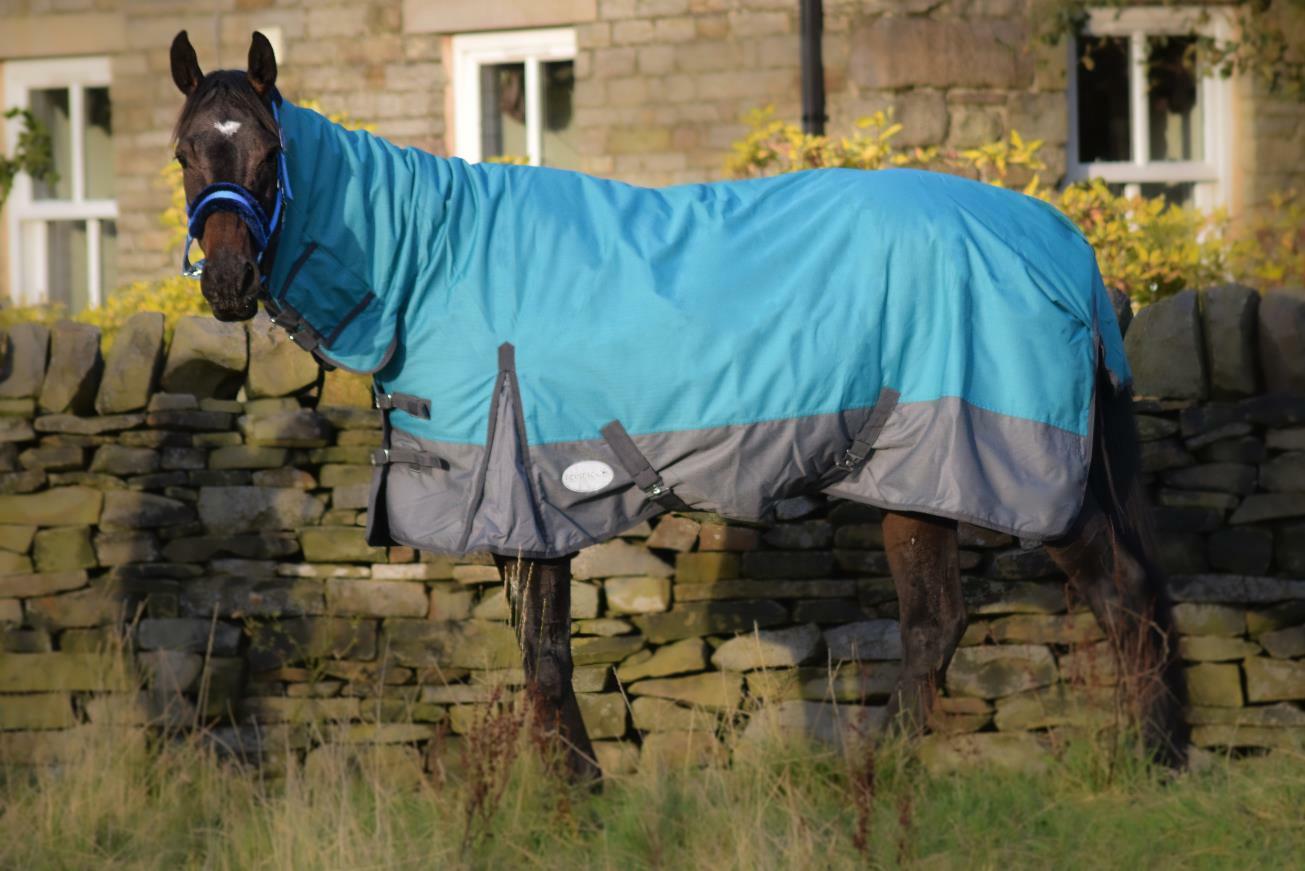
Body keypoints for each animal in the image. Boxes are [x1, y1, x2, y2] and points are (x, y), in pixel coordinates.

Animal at [169, 30, 1188, 780]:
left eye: (268, 149)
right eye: (186, 150)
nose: (226, 282)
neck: (433, 262)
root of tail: (1061, 242)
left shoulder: (528, 498)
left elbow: (545, 660)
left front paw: (573, 802)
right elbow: (539, 658)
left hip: (1023, 473)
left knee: (1120, 592)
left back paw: (1147, 761)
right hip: (916, 479)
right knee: (938, 622)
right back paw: (882, 777)